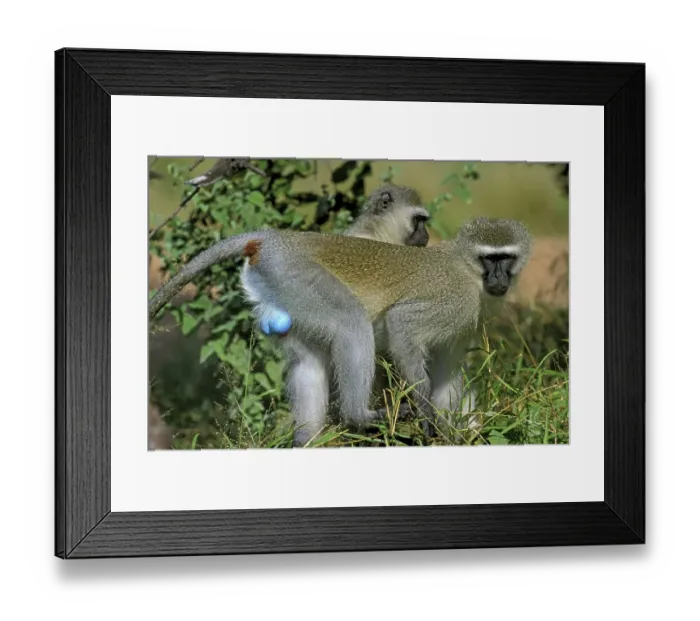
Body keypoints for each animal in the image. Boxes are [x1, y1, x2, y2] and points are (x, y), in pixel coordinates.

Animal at [148, 216, 532, 446]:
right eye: (490, 259)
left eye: (506, 258)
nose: (499, 279)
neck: (467, 270)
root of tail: (278, 240)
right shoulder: (455, 301)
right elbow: (402, 323)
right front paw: (425, 412)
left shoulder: (465, 321)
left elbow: (448, 372)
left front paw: (458, 435)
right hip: (296, 274)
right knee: (351, 322)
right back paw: (358, 417)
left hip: (281, 287)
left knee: (308, 362)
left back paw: (309, 441)